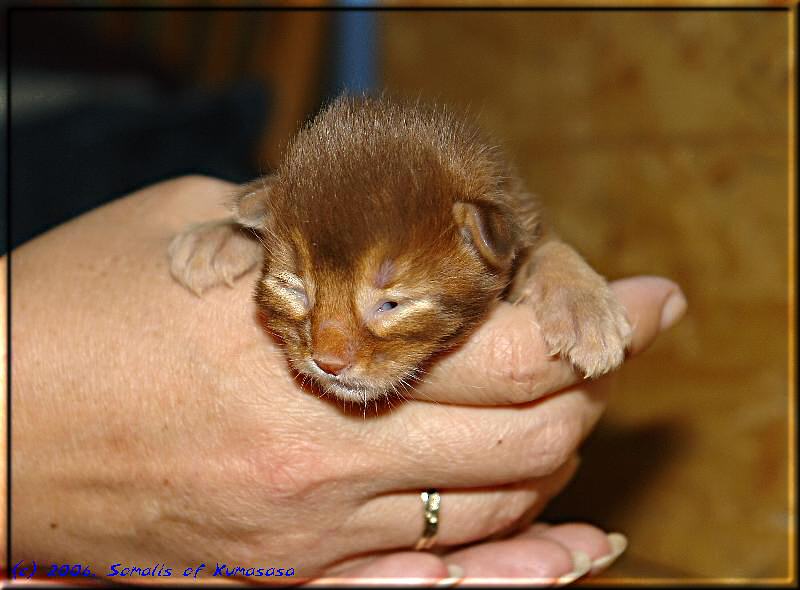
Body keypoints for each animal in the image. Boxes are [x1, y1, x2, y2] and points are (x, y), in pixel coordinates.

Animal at [169, 95, 632, 404]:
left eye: (392, 305)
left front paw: (585, 311)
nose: (327, 362)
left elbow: (551, 250)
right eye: (295, 290)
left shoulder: (527, 223)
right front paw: (220, 236)